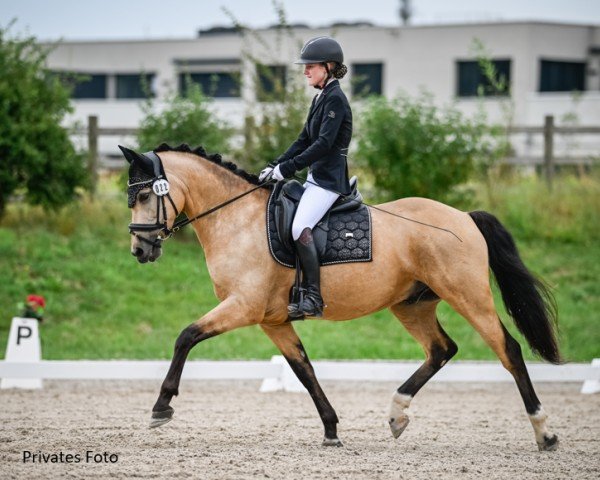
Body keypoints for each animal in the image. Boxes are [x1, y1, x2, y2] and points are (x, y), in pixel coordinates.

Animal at [119, 144, 560, 452]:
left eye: (143, 197)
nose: (140, 250)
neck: (237, 220)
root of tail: (464, 217)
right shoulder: (272, 320)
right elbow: (304, 370)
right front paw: (331, 429)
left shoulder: (243, 307)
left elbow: (186, 336)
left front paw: (161, 407)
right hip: (412, 305)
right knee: (441, 349)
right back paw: (397, 414)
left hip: (468, 295)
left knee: (508, 350)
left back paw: (545, 433)